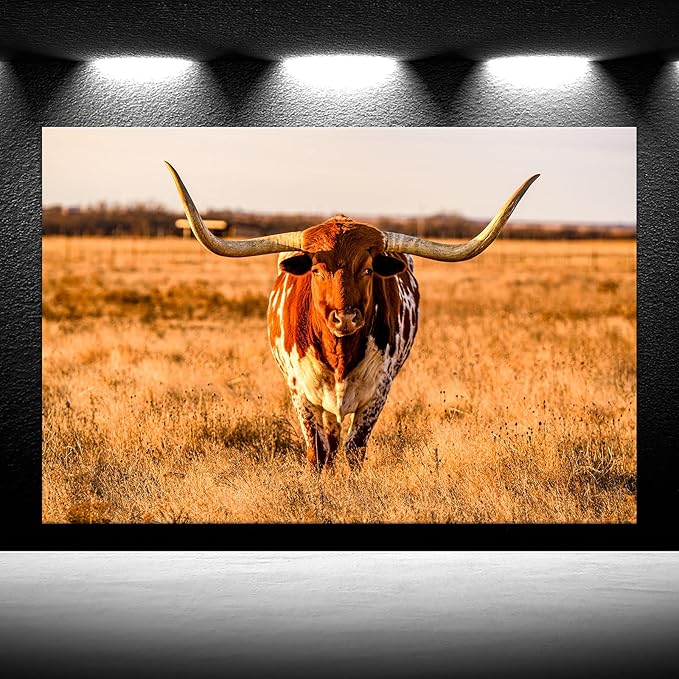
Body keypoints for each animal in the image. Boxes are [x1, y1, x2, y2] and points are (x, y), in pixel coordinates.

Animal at [165, 162, 538, 470]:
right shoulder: (301, 393)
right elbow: (318, 452)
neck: (340, 353)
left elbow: (355, 449)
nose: (344, 318)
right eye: (316, 270)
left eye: (369, 268)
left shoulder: (377, 393)